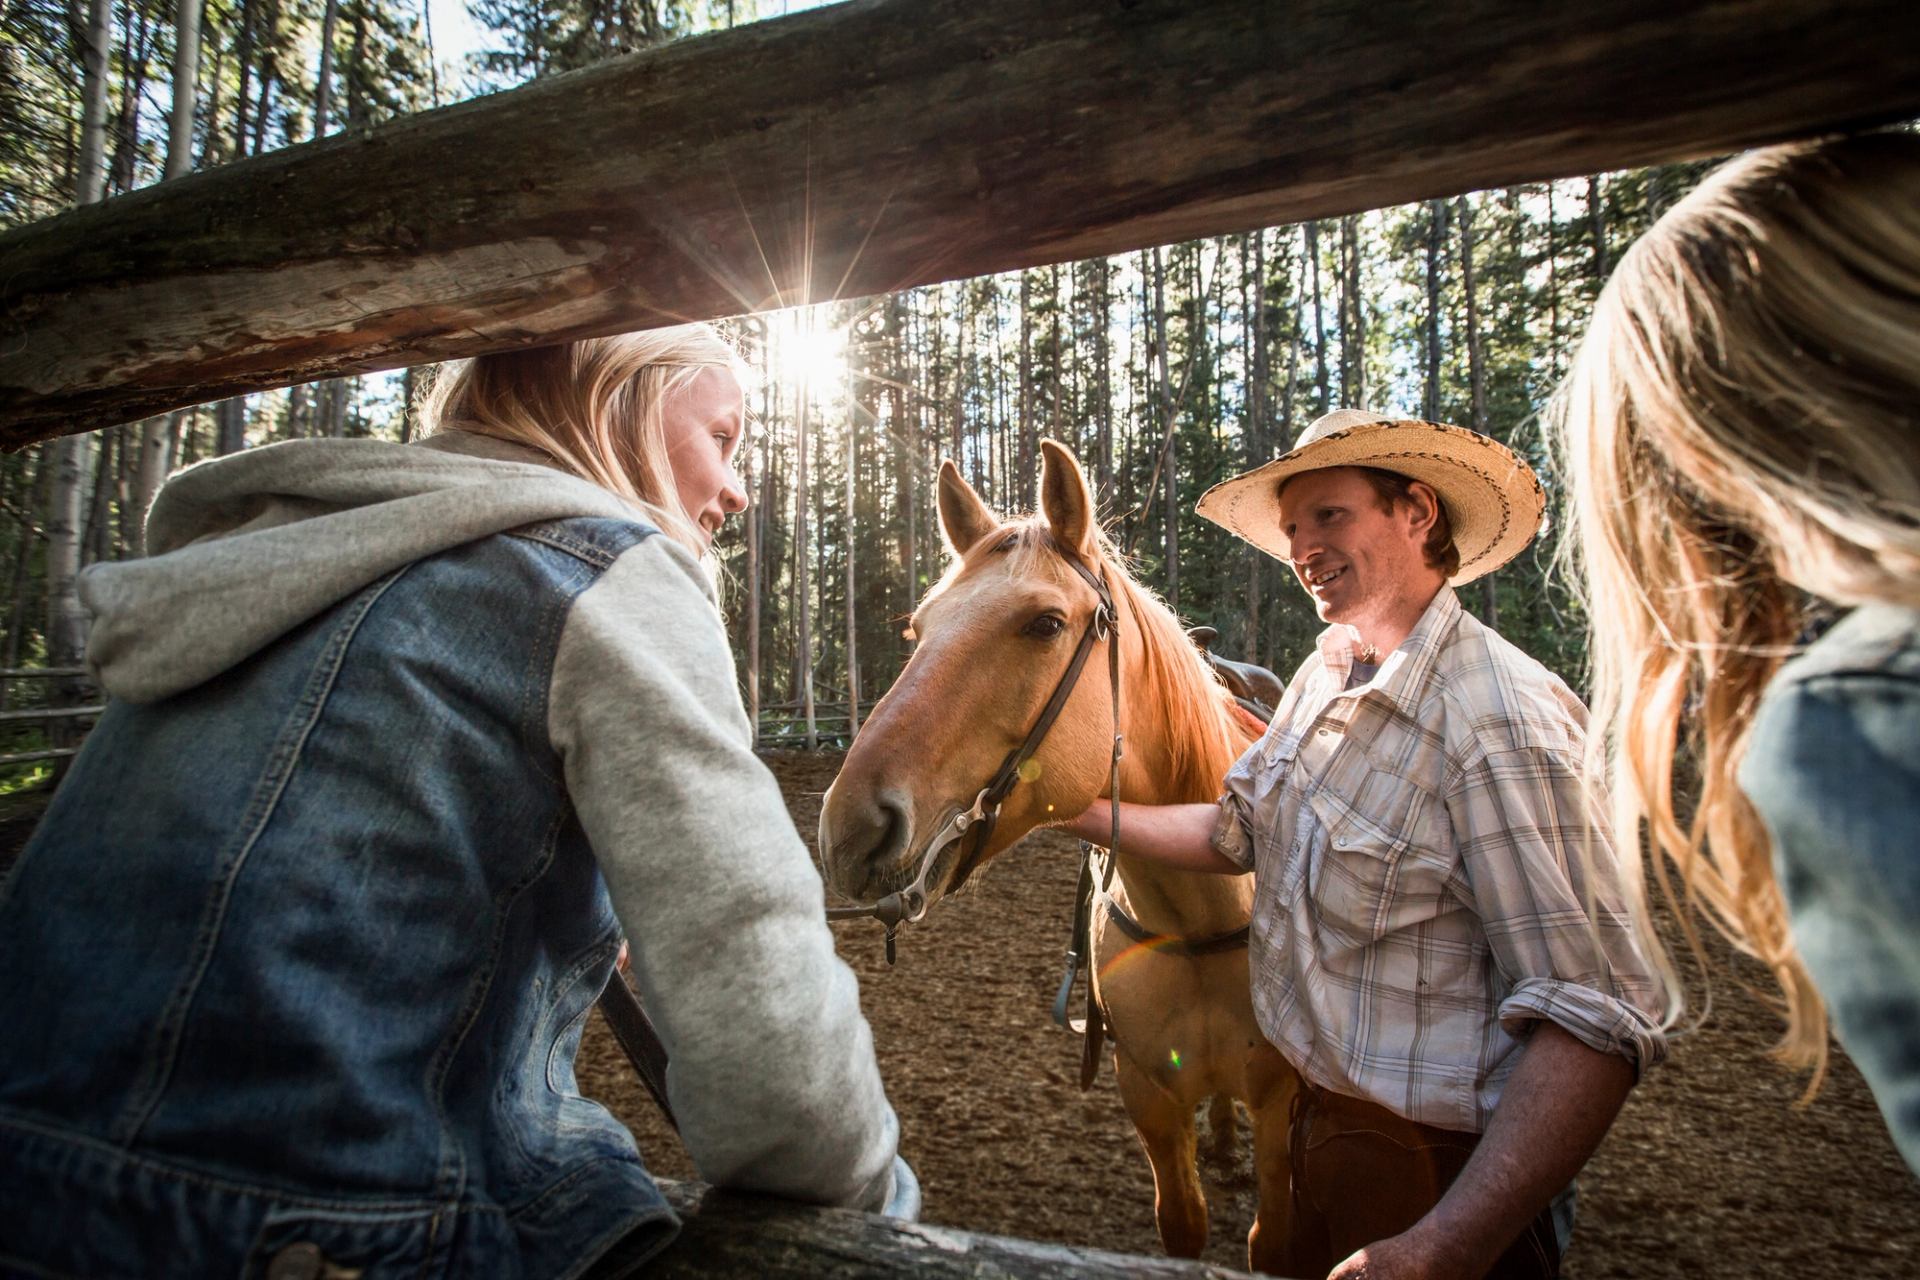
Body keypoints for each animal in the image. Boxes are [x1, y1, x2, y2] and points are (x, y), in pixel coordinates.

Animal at [817, 441, 1297, 1274]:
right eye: (918, 629)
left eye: (1044, 623)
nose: (850, 829)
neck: (1202, 913)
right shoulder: (1148, 1096)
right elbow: (1182, 1227)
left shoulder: (1281, 1109)